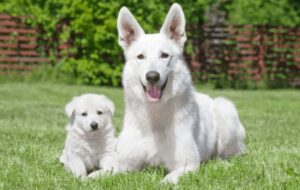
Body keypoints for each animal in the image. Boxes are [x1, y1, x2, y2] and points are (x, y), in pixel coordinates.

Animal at [116, 2, 245, 184]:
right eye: (140, 56)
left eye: (164, 55)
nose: (152, 76)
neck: (155, 116)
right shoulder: (123, 165)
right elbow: (98, 173)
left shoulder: (187, 165)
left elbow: (166, 180)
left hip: (225, 110)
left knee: (231, 156)